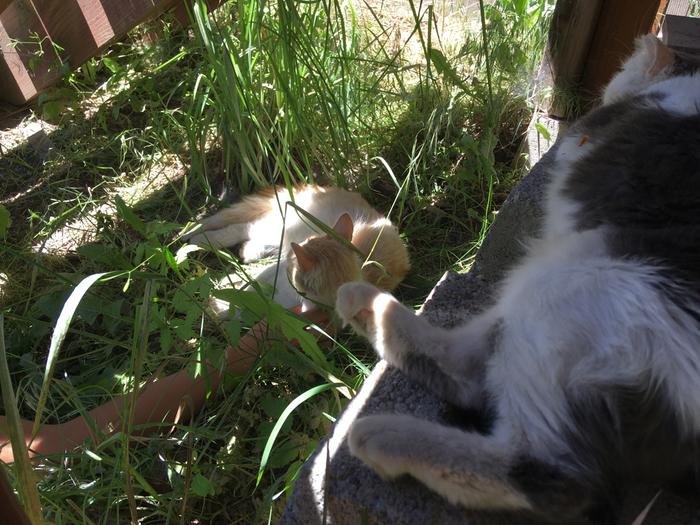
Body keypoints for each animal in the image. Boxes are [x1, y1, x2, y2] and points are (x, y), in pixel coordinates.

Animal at [185, 185, 410, 312]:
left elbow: (249, 295)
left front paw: (221, 301)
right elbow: (250, 283)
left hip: (280, 233)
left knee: (248, 233)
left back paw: (245, 251)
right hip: (284, 224)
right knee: (239, 227)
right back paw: (196, 237)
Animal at [336, 34, 700, 520]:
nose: (607, 88)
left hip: (575, 280)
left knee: (545, 471)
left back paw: (381, 433)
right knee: (469, 371)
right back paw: (364, 306)